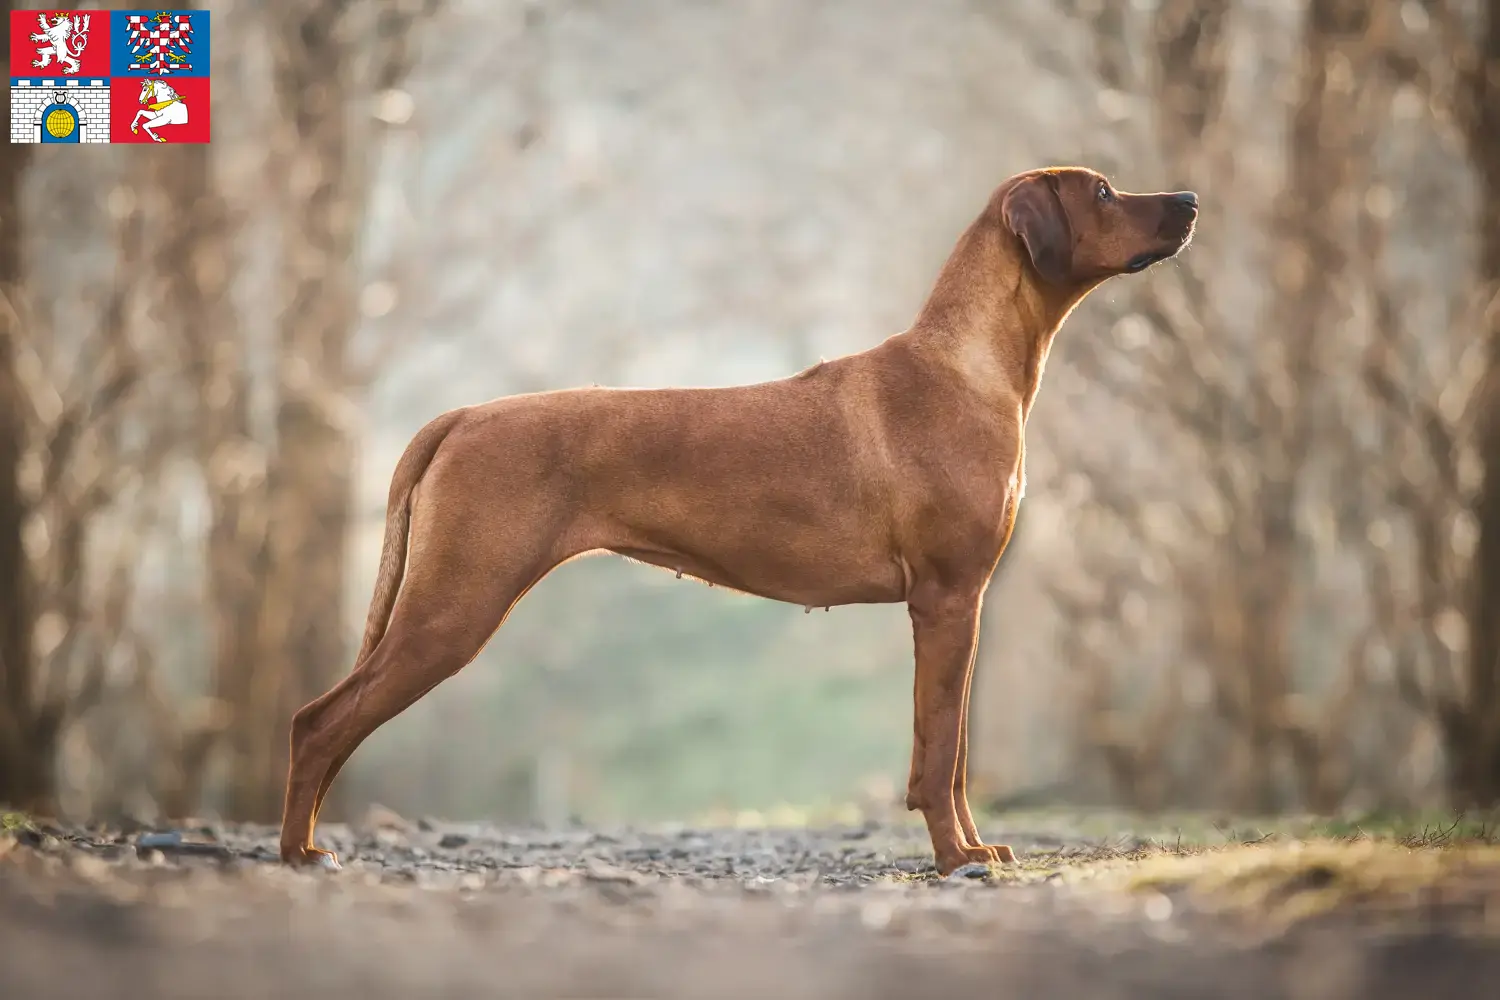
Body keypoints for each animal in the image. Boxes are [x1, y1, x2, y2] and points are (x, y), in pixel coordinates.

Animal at [279, 164, 1194, 875]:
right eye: (1104, 190)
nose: (1188, 199)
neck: (965, 363)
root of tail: (461, 415)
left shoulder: (959, 606)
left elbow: (954, 754)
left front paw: (973, 849)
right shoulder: (946, 600)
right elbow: (940, 757)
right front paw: (953, 860)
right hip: (455, 606)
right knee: (318, 721)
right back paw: (297, 852)